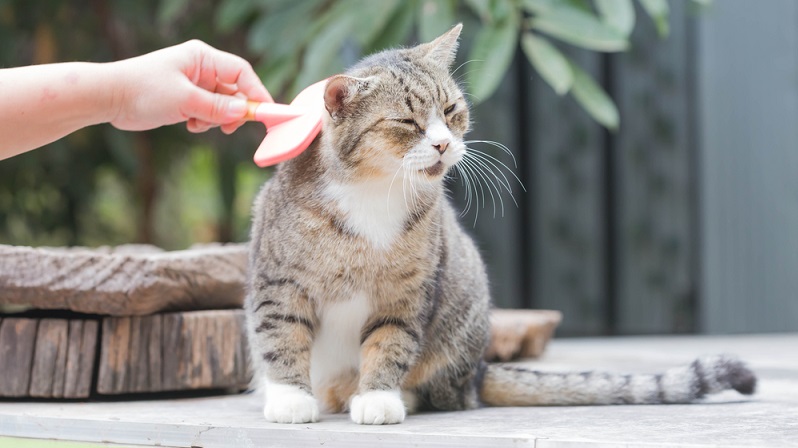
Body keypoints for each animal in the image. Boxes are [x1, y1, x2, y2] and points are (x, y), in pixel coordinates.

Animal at [247, 23, 760, 424]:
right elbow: (281, 336)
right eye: (408, 122)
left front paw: (378, 398)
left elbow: (390, 343)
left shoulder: (407, 293)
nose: (442, 144)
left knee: (449, 393)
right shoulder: (279, 281)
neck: (375, 191)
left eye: (450, 111)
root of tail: (479, 371)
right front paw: (290, 398)